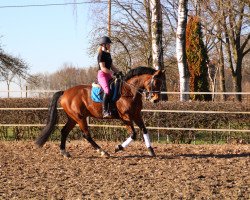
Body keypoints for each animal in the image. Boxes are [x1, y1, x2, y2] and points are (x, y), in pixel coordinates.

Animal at [35, 66, 164, 157]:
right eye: (156, 82)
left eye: (161, 83)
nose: (156, 99)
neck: (129, 90)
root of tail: (65, 92)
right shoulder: (126, 117)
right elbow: (133, 134)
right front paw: (118, 147)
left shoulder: (136, 115)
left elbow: (144, 130)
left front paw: (151, 150)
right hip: (80, 118)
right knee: (86, 135)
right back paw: (103, 152)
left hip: (73, 118)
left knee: (64, 131)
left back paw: (64, 152)